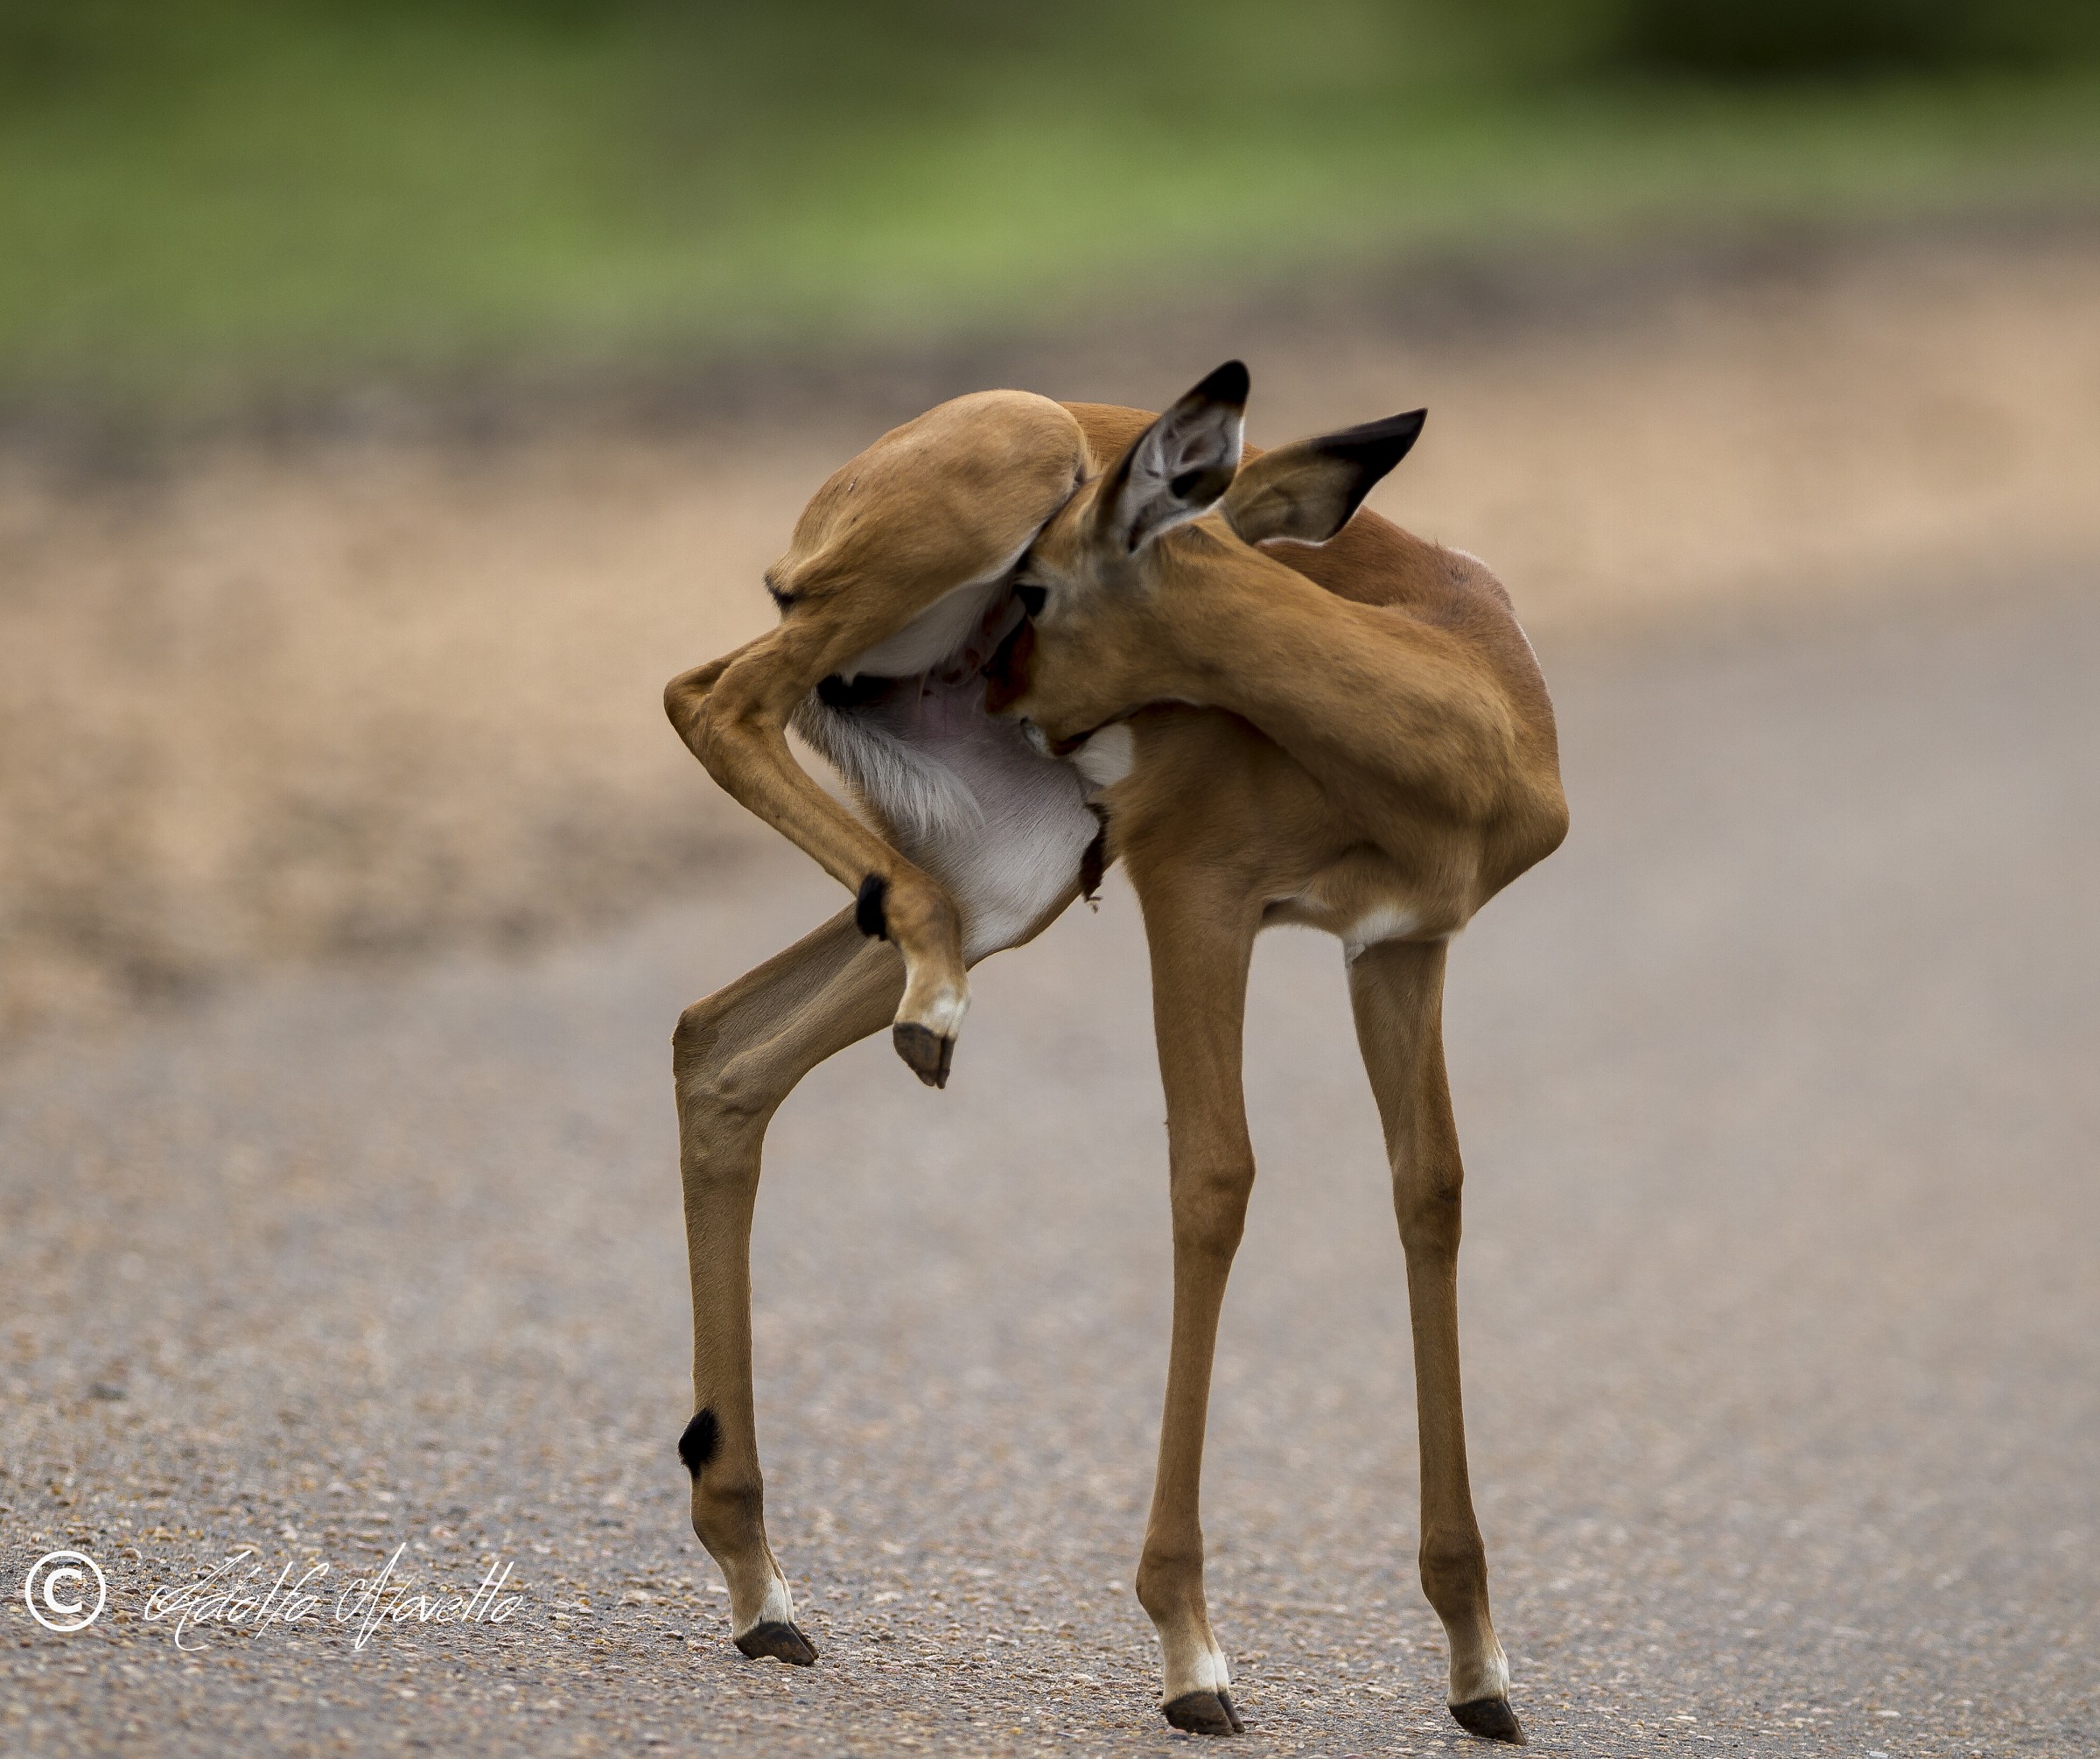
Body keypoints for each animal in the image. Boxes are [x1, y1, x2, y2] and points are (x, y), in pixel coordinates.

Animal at [662, 362, 1567, 1742]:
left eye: (1039, 592)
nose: (994, 685)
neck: (1463, 687)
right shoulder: (1197, 897)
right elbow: (1216, 1177)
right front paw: (1192, 1650)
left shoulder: (1400, 944)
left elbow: (1432, 1197)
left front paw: (1478, 1665)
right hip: (976, 740)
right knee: (710, 693)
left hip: (1006, 876)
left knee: (723, 1043)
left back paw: (764, 1592)